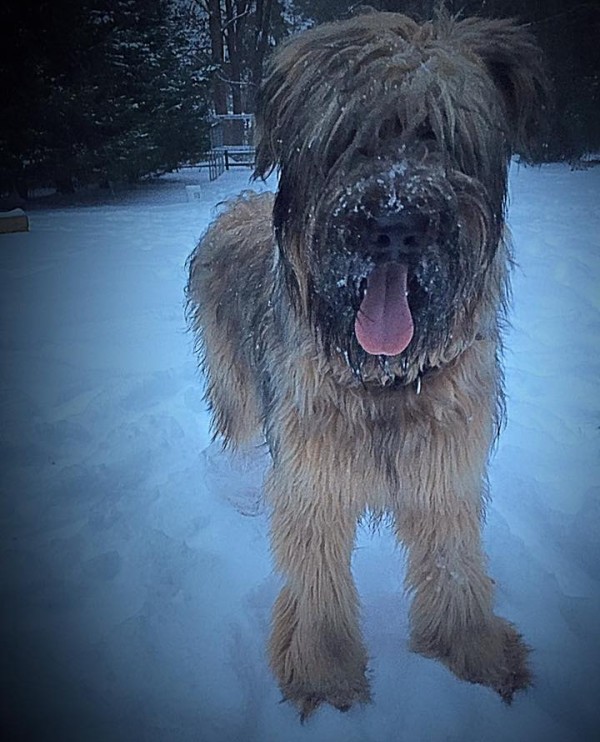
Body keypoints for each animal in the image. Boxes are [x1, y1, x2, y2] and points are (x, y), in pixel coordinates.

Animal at [185, 10, 548, 720]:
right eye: (351, 136)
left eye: (441, 134)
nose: (396, 223)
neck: (383, 377)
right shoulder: (314, 476)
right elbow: (319, 578)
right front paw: (325, 675)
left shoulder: (444, 470)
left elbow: (454, 563)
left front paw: (475, 652)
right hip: (236, 383)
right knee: (236, 436)